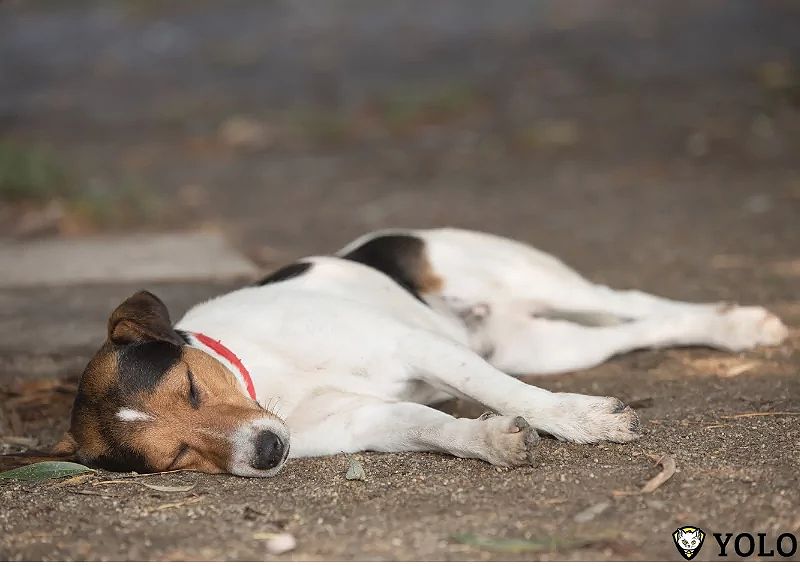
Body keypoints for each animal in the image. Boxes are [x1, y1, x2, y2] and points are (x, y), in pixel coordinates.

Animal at [12, 229, 788, 478]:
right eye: (175, 458)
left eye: (193, 391)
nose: (266, 452)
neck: (271, 383)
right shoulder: (371, 420)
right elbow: (436, 426)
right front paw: (489, 442)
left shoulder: (413, 343)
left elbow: (509, 394)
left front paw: (579, 421)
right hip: (543, 341)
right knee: (632, 332)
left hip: (532, 280)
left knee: (636, 302)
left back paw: (741, 329)